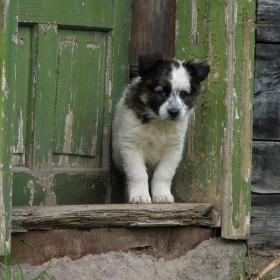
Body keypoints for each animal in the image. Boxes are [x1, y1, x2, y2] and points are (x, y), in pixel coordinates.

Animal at [112, 54, 209, 203]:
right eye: (161, 92)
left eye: (184, 94)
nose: (174, 112)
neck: (160, 122)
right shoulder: (131, 146)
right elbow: (138, 173)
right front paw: (140, 195)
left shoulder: (173, 150)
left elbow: (163, 174)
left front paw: (162, 195)